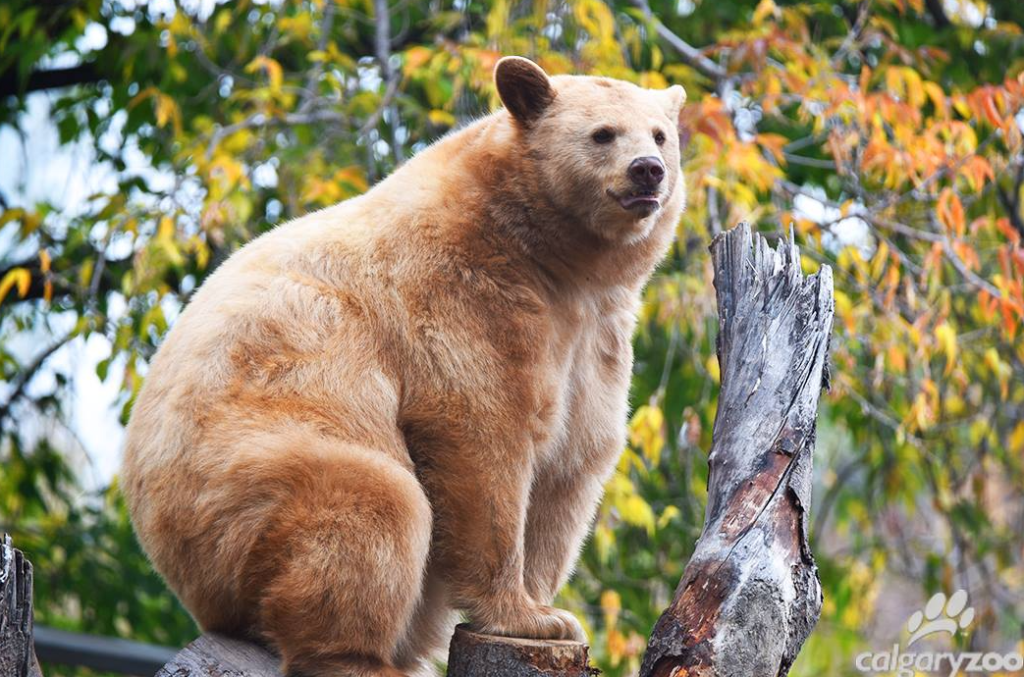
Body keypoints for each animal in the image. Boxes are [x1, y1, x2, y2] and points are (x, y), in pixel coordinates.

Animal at [121, 55, 688, 671]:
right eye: (603, 133)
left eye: (660, 134)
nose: (648, 170)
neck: (548, 255)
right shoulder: (462, 295)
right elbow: (479, 435)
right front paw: (521, 613)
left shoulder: (591, 335)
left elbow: (573, 461)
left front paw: (549, 612)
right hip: (242, 488)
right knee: (374, 506)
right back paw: (358, 656)